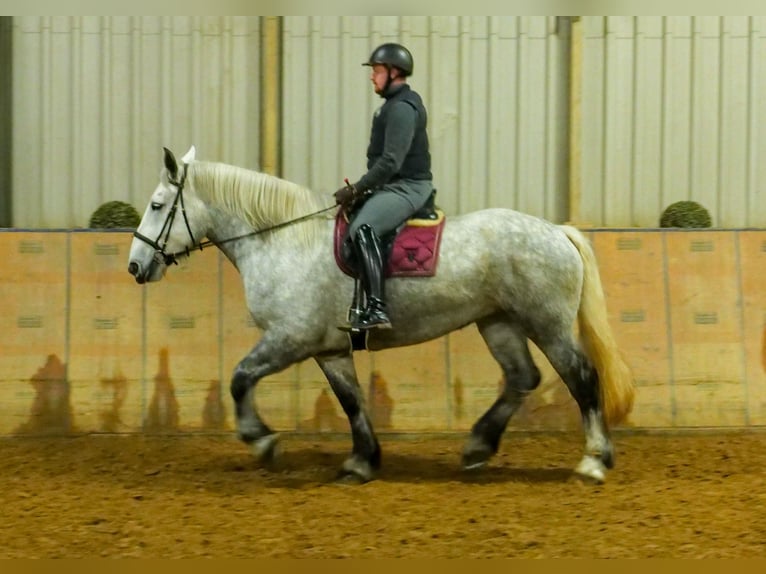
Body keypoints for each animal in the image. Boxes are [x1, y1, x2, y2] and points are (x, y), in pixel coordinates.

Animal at [129, 147, 636, 486]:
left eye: (156, 205)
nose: (135, 266)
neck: (281, 240)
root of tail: (557, 231)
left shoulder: (289, 339)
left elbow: (239, 378)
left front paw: (262, 441)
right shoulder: (330, 349)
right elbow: (351, 401)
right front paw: (361, 462)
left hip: (548, 324)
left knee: (582, 378)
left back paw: (593, 462)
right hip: (498, 322)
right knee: (522, 377)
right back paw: (478, 446)